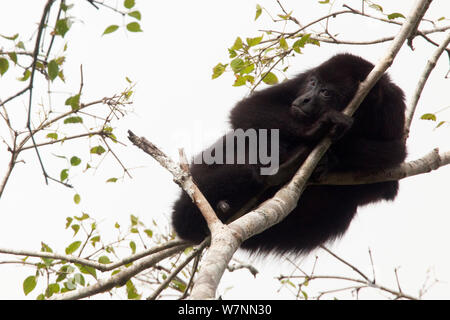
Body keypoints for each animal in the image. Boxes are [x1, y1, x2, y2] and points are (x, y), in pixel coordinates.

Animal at [171, 54, 406, 255]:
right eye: (313, 83)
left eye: (326, 93)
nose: (305, 99)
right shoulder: (302, 79)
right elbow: (247, 108)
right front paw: (317, 129)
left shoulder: (393, 110)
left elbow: (392, 165)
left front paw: (331, 153)